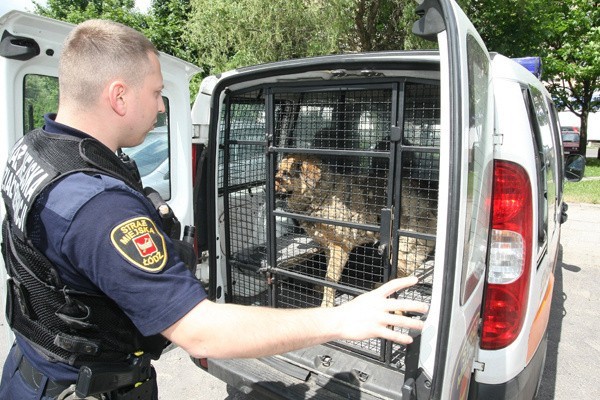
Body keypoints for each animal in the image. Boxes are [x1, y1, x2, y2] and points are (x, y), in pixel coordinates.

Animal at [274, 153, 436, 306]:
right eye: (278, 171)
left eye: (286, 173)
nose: (270, 190)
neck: (324, 194)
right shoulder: (328, 248)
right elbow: (328, 275)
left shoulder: (340, 247)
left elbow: (329, 278)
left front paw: (326, 304)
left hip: (401, 249)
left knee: (405, 274)